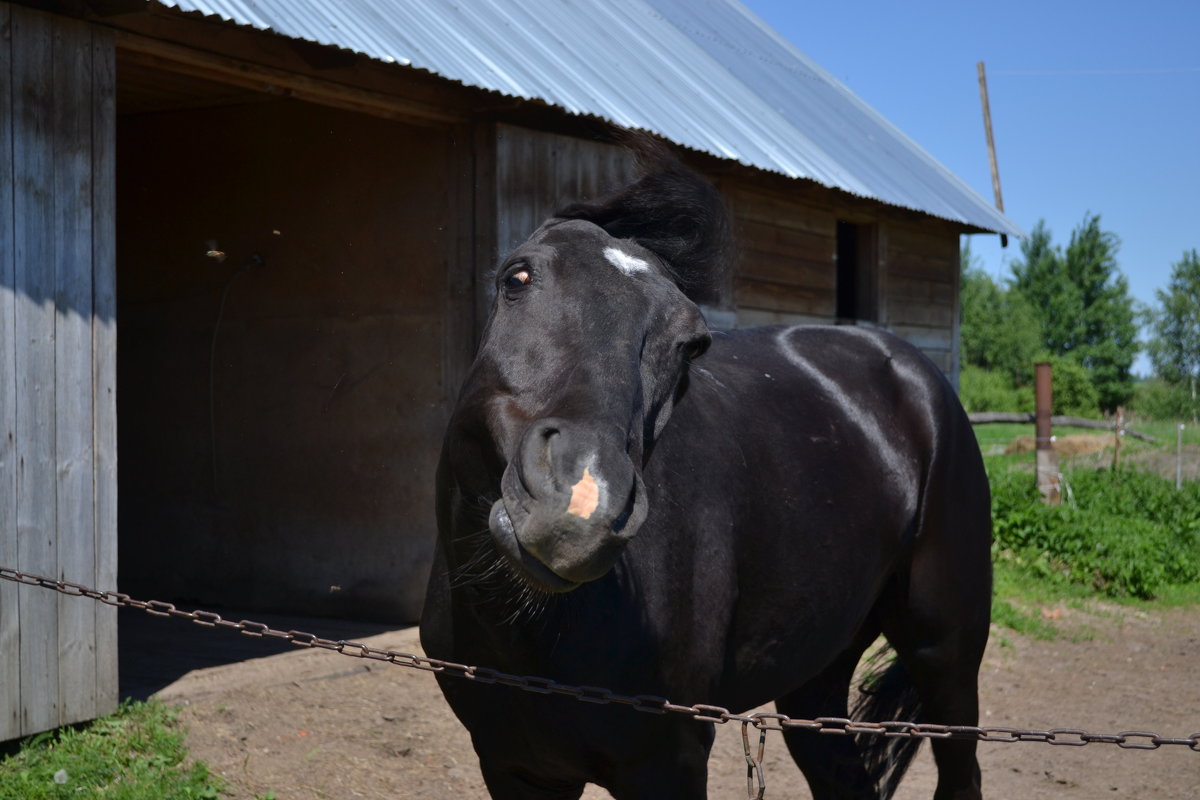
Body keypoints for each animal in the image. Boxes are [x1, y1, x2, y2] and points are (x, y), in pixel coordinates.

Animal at [424, 143, 993, 800]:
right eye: (517, 277)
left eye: (692, 343)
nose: (579, 502)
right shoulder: (514, 766)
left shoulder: (667, 763)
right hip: (814, 679)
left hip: (946, 656)